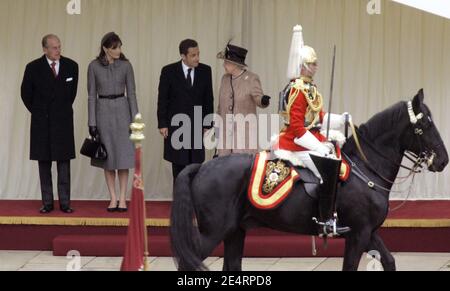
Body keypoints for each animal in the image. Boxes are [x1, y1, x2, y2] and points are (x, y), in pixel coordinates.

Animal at [171, 90, 448, 272]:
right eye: (425, 124)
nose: (443, 160)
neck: (365, 168)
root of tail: (203, 166)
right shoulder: (358, 234)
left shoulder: (369, 231)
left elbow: (389, 260)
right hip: (212, 232)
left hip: (235, 231)